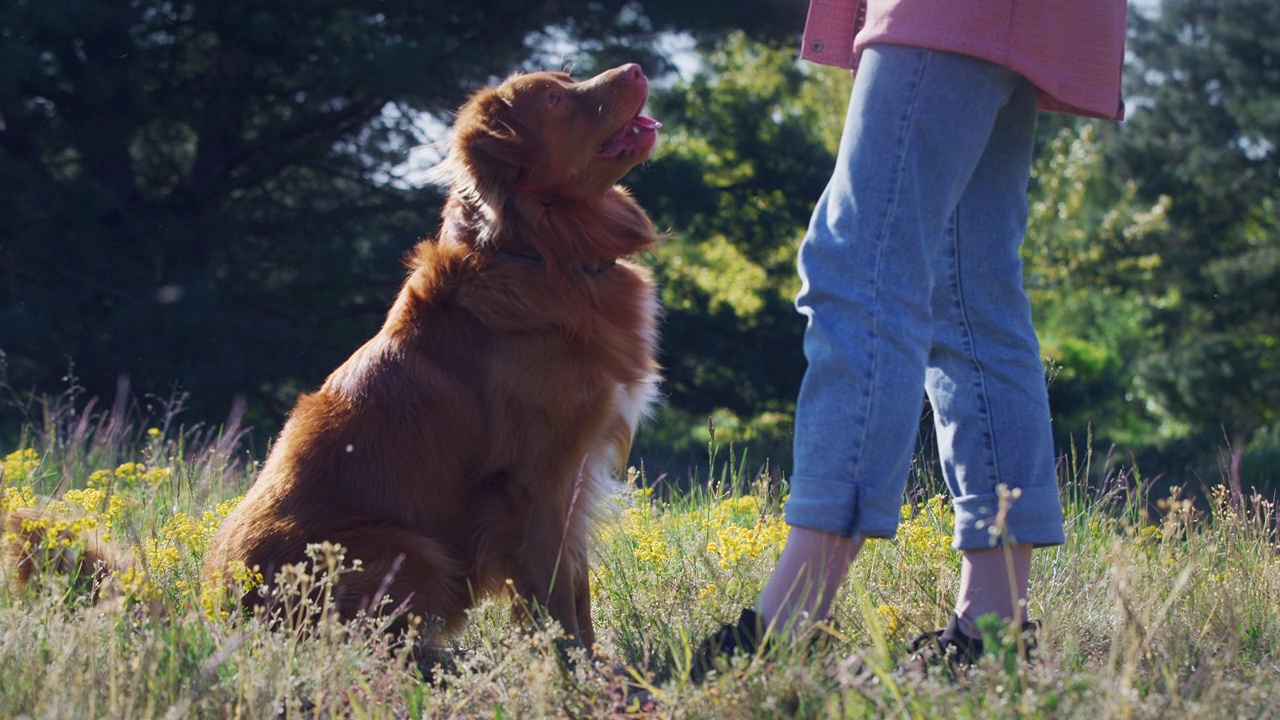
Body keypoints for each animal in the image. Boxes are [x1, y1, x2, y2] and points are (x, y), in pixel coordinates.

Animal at [204, 64, 665, 645]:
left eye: (568, 77)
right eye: (554, 100)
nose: (636, 69)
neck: (542, 251)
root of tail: (219, 605)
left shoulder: (574, 472)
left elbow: (577, 588)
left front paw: (598, 661)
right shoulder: (536, 478)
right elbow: (558, 593)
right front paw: (572, 664)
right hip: (413, 551)